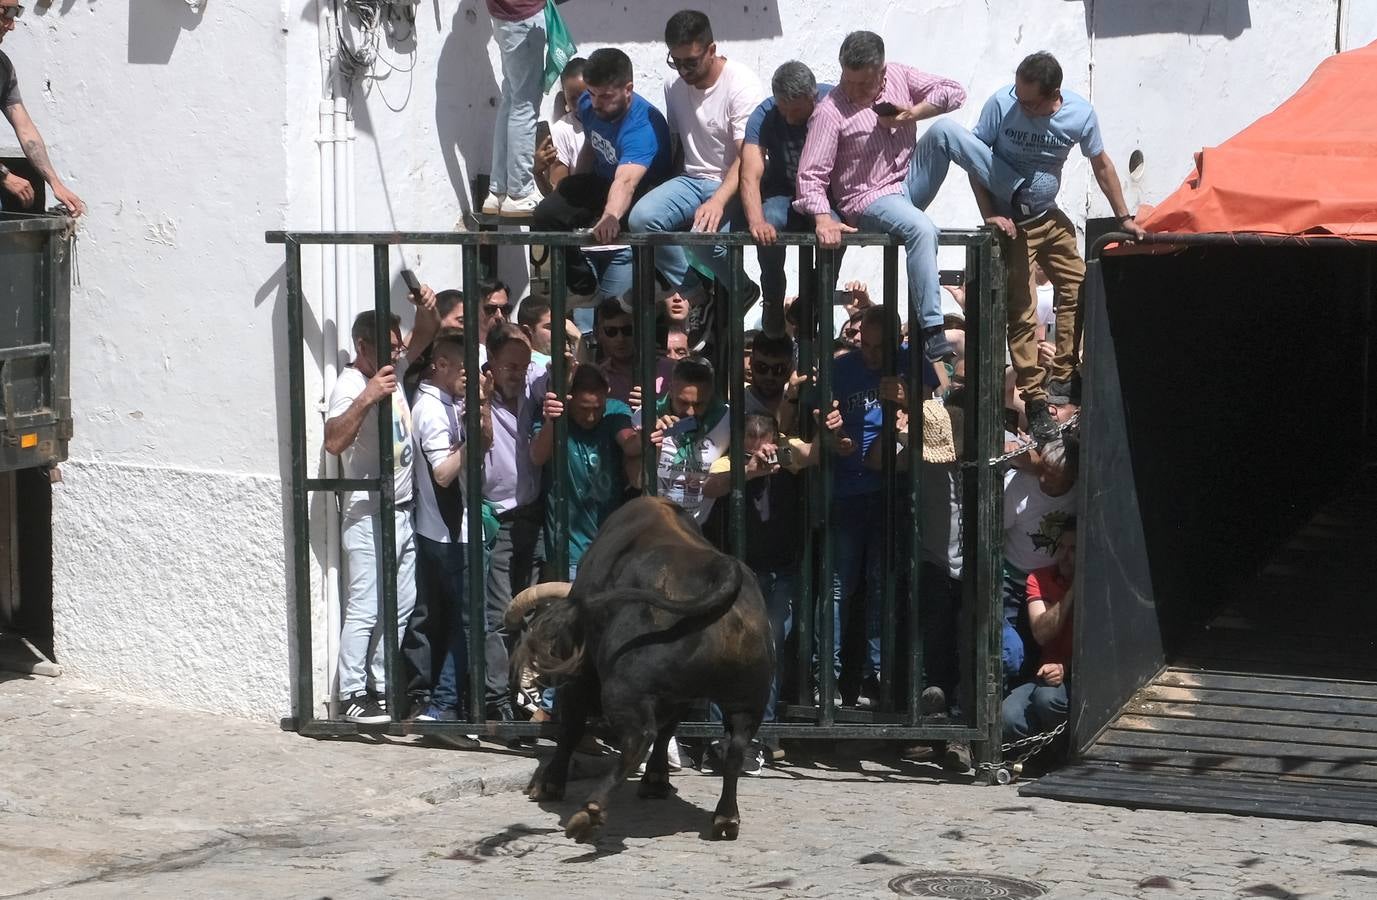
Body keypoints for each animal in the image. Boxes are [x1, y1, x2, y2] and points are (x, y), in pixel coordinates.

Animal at [506, 498, 776, 842]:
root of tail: (722, 571)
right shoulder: (679, 696)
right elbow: (668, 731)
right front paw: (656, 781)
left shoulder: (581, 678)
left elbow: (571, 728)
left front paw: (549, 783)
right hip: (748, 700)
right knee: (735, 748)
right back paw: (726, 818)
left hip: (622, 688)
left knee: (638, 739)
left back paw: (589, 812)